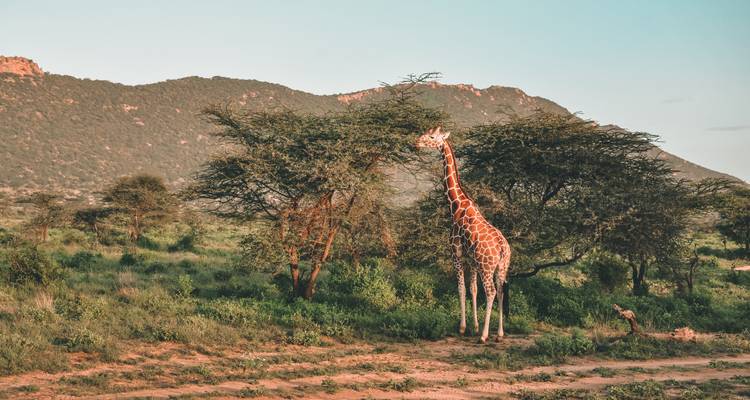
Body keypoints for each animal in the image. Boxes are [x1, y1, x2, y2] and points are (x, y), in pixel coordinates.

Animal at [416, 127, 511, 343]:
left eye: (432, 136)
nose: (417, 142)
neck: (456, 205)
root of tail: (503, 248)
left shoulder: (456, 253)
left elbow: (460, 288)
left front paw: (463, 327)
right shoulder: (471, 259)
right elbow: (473, 289)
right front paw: (474, 326)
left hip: (487, 267)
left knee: (491, 292)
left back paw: (485, 336)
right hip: (502, 267)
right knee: (501, 291)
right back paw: (499, 334)